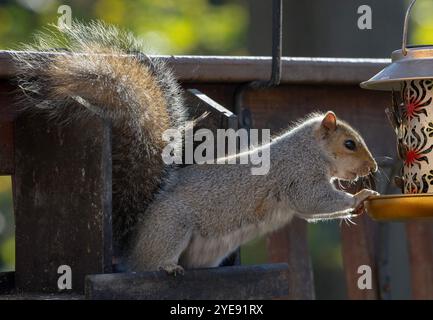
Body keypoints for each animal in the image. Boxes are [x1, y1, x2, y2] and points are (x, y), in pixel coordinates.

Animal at [12, 21, 378, 274]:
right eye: (349, 144)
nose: (373, 169)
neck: (311, 151)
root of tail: (130, 250)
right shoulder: (298, 177)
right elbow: (312, 201)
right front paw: (360, 196)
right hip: (173, 227)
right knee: (151, 264)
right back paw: (165, 266)